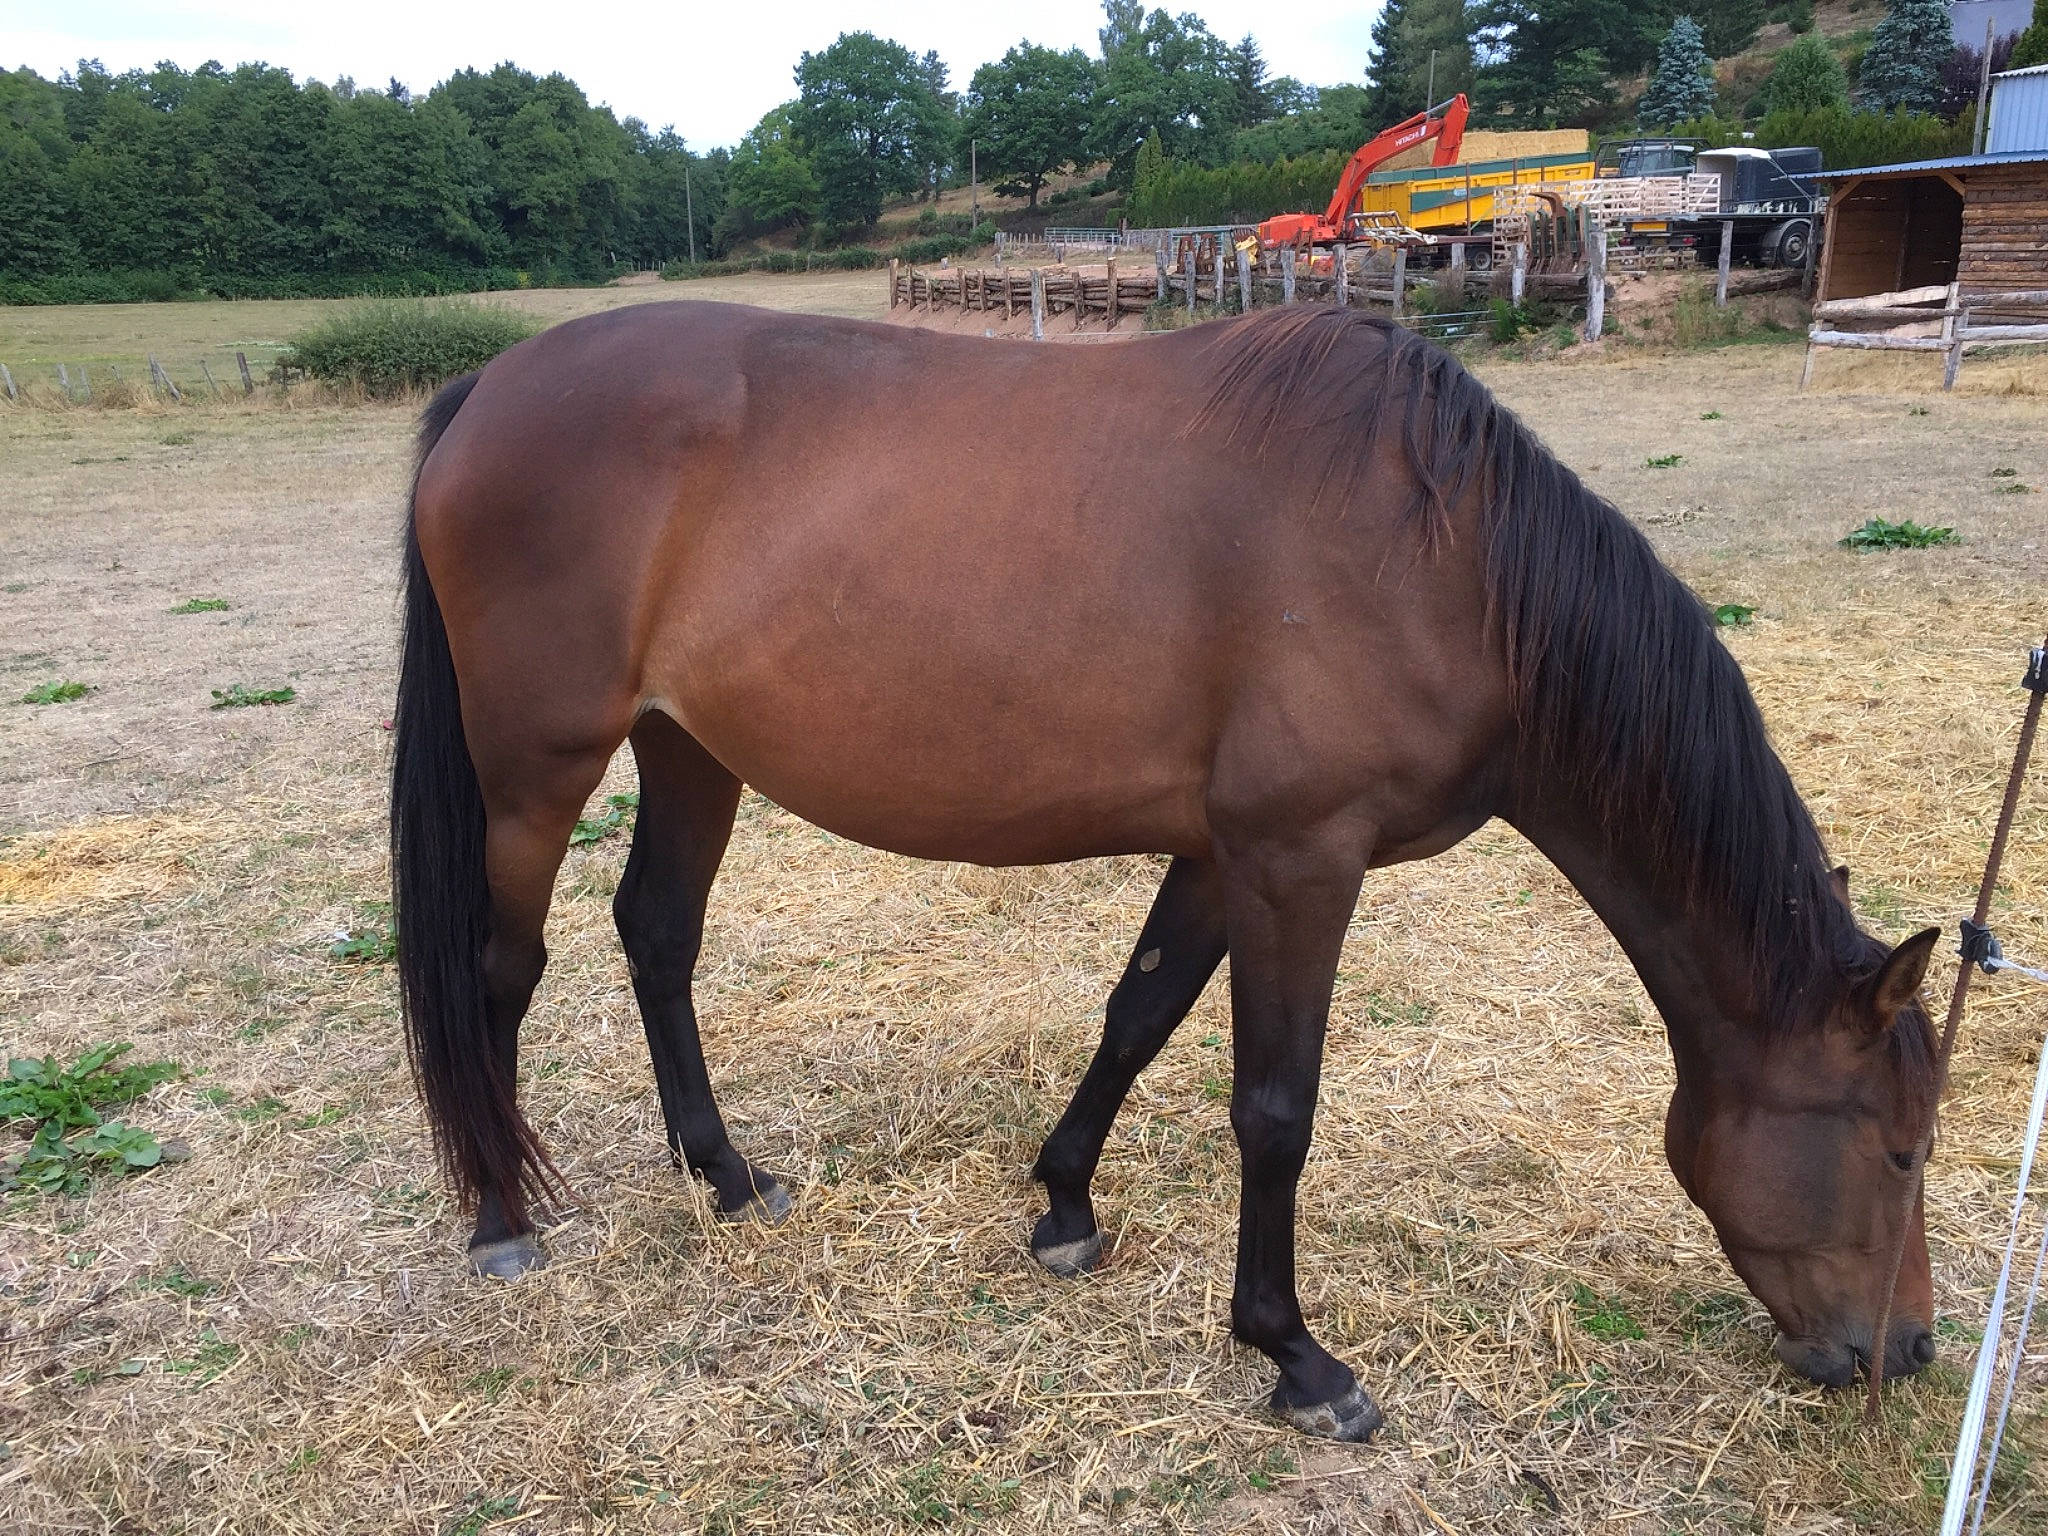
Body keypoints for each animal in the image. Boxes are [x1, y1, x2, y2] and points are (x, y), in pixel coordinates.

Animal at [391, 301, 1942, 1441]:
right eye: (1897, 1147)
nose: (1910, 1352)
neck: (1444, 558)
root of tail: (491, 385)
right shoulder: (1301, 860)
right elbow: (1275, 1111)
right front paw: (1296, 1357)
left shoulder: (1218, 852)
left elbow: (1136, 1016)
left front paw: (1064, 1205)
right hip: (537, 766)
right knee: (500, 969)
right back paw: (501, 1217)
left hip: (686, 747)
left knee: (656, 935)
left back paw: (722, 1175)